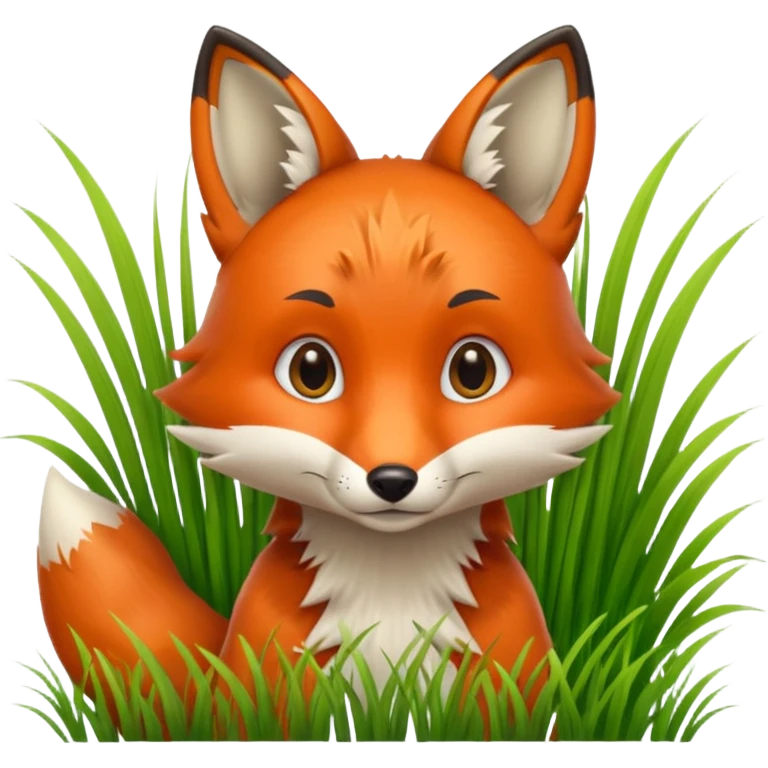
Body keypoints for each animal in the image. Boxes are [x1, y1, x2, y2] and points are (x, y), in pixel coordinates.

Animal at [35, 23, 620, 738]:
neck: (390, 595)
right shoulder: (269, 683)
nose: (392, 480)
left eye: (472, 371)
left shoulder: (511, 681)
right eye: (311, 370)